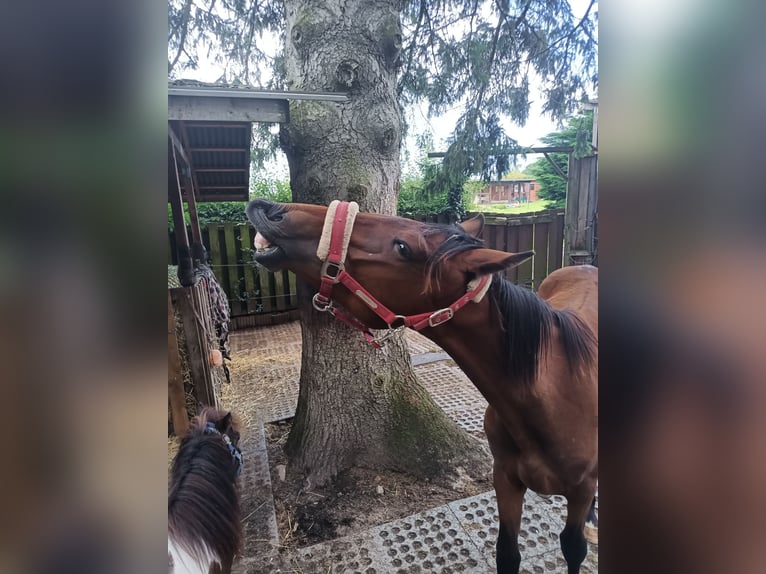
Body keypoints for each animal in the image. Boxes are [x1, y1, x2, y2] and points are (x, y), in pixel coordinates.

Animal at [246, 200, 600, 572]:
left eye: (403, 247)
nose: (270, 209)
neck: (554, 396)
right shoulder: (505, 479)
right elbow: (507, 553)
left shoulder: (578, 491)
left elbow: (573, 547)